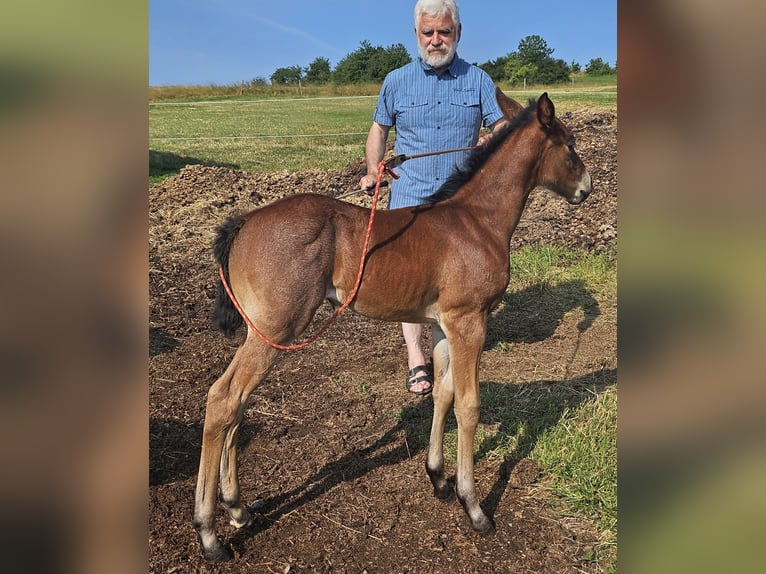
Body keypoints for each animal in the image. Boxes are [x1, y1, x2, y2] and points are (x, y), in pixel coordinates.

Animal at [193, 90, 591, 562]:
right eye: (570, 145)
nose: (586, 189)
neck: (477, 220)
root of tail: (244, 223)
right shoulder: (470, 321)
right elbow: (469, 405)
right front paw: (474, 507)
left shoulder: (442, 324)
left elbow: (442, 394)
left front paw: (439, 478)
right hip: (277, 329)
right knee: (223, 399)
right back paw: (209, 533)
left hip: (264, 331)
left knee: (238, 406)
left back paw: (237, 509)